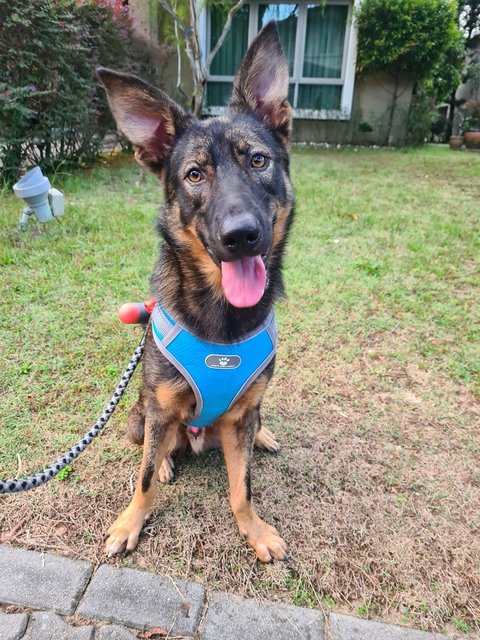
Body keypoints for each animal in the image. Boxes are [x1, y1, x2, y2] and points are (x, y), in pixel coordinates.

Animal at [96, 20, 292, 564]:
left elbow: (242, 487)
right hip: (141, 412)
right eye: (195, 175)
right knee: (149, 443)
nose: (241, 235)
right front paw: (130, 522)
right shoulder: (162, 406)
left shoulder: (243, 412)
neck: (220, 318)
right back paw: (165, 459)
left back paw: (262, 434)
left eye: (258, 161)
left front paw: (254, 529)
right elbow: (142, 478)